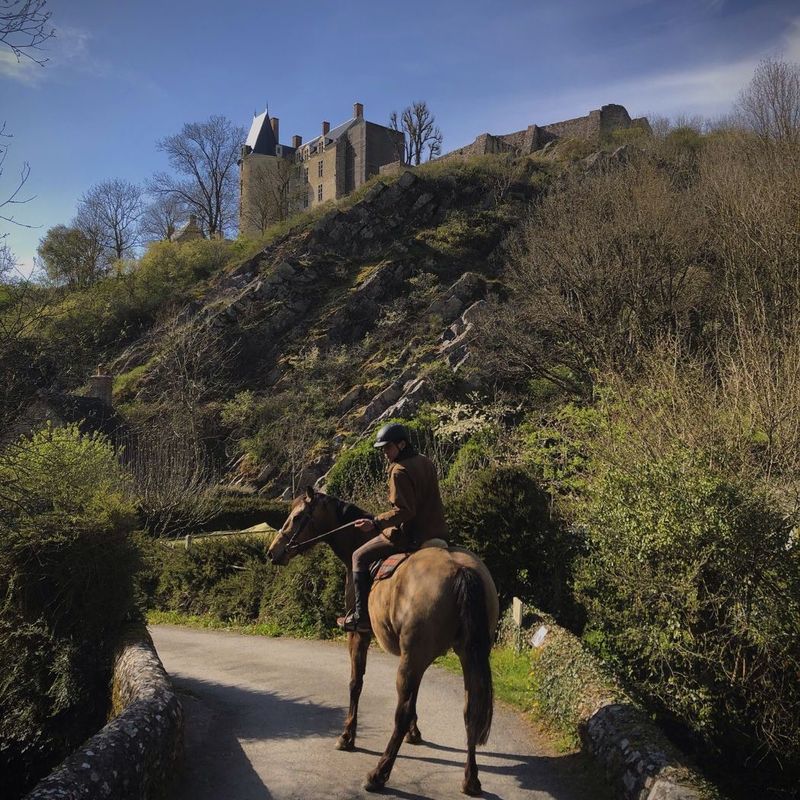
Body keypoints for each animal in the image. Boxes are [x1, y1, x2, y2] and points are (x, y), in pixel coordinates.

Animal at [268, 488, 500, 792]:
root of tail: (460, 570)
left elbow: (356, 684)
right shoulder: (413, 657)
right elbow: (413, 698)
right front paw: (415, 733)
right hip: (465, 655)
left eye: (296, 517)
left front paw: (347, 736)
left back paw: (378, 773)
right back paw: (470, 779)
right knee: (470, 711)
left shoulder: (360, 635)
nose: (272, 552)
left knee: (400, 715)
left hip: (417, 656)